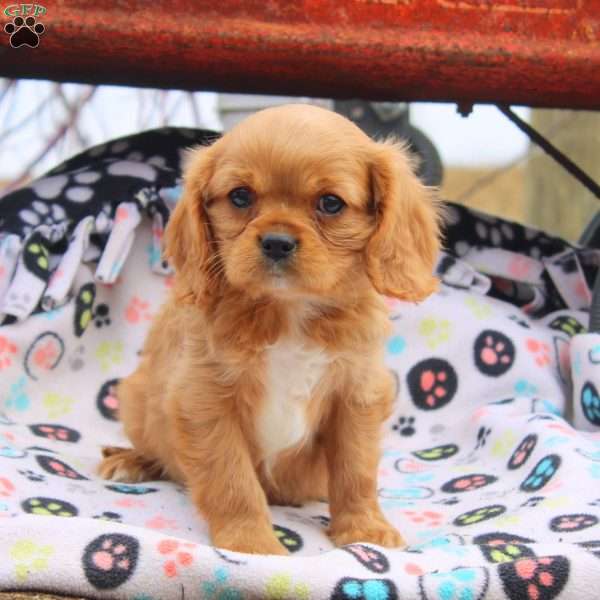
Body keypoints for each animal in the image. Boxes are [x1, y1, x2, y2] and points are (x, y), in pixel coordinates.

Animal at [98, 104, 442, 556]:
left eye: (330, 203)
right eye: (240, 196)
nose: (277, 241)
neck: (288, 311)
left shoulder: (358, 395)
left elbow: (356, 469)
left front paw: (365, 529)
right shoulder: (205, 399)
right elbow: (232, 479)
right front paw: (251, 543)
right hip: (136, 399)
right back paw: (131, 460)